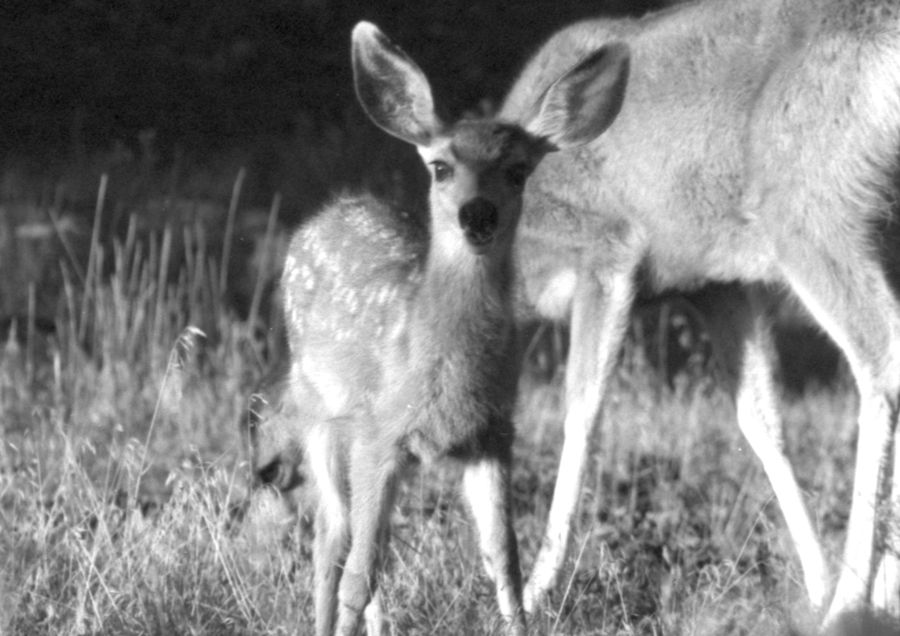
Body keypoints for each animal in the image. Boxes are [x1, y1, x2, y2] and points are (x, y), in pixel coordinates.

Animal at [284, 21, 628, 636]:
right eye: (441, 167)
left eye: (518, 170)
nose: (478, 214)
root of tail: (325, 215)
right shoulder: (380, 433)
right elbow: (357, 573)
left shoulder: (492, 435)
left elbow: (504, 562)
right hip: (316, 413)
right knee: (332, 539)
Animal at [500, 0, 900, 628]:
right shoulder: (719, 284)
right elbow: (761, 421)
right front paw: (815, 582)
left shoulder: (608, 254)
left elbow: (582, 411)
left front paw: (535, 593)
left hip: (811, 210)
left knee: (881, 356)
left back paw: (854, 602)